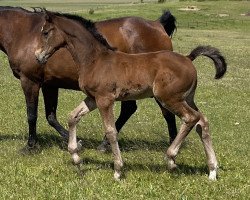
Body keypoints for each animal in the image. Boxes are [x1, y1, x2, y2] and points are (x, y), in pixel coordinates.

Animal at [0, 6, 178, 150]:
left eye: (45, 33)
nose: (38, 56)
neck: (23, 32)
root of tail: (157, 25)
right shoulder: (49, 84)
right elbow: (51, 117)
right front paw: (74, 140)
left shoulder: (30, 81)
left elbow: (32, 115)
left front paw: (31, 145)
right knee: (130, 110)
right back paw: (106, 144)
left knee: (166, 112)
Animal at [34, 10, 227, 180]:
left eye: (45, 32)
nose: (37, 56)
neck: (95, 60)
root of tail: (188, 58)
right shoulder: (92, 98)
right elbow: (72, 117)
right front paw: (76, 157)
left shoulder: (105, 99)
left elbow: (111, 131)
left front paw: (118, 170)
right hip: (187, 98)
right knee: (202, 122)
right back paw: (212, 171)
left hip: (169, 98)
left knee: (191, 118)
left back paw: (171, 159)